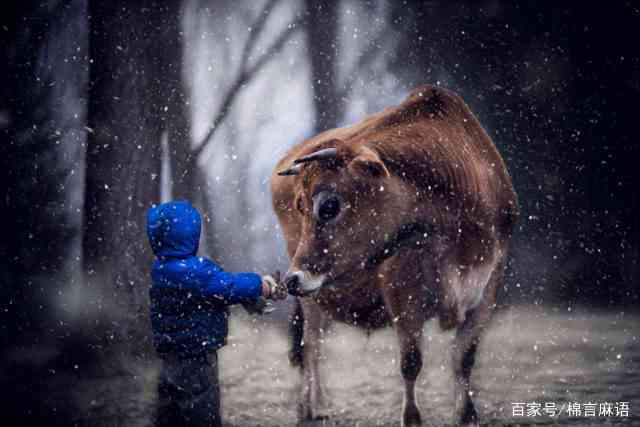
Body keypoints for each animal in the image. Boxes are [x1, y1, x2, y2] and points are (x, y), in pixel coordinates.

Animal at [268, 85, 516, 426]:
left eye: (329, 205)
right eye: (300, 207)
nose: (293, 278)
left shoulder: (489, 286)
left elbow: (464, 356)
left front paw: (466, 414)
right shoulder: (402, 291)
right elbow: (411, 361)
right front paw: (411, 417)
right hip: (310, 298)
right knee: (311, 346)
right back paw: (311, 406)